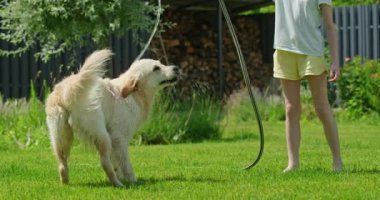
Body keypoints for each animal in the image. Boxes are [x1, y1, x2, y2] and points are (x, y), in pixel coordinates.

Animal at [45, 49, 179, 187]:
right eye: (156, 68)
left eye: (161, 63)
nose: (176, 68)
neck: (133, 94)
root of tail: (67, 91)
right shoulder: (119, 138)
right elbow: (125, 163)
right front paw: (131, 179)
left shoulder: (115, 140)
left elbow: (116, 162)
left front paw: (121, 175)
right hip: (103, 137)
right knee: (104, 163)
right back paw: (118, 184)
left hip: (61, 138)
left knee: (62, 163)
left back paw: (65, 183)